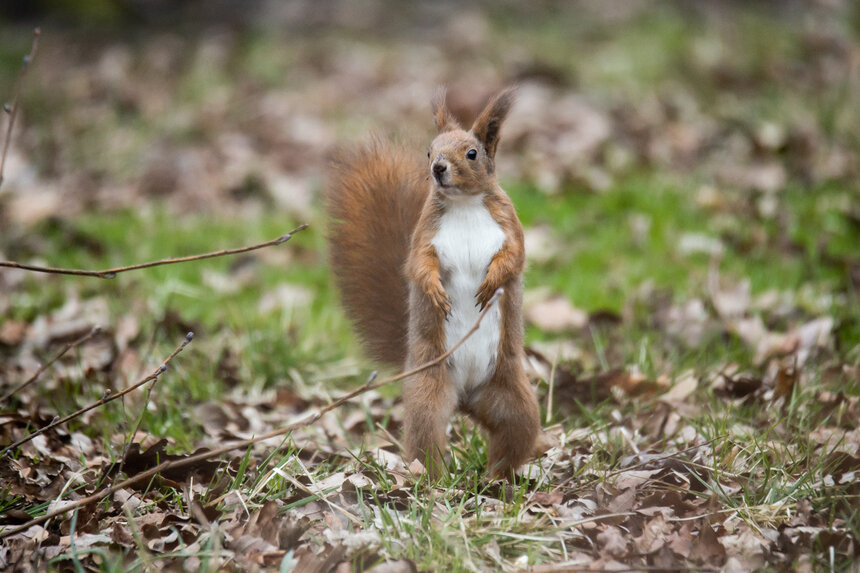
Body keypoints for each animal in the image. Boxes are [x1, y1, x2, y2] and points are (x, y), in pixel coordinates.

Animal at [326, 86, 540, 478]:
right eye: (429, 150)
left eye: (472, 153)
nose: (438, 168)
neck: (465, 204)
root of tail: (466, 399)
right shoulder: (424, 236)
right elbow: (418, 266)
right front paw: (435, 293)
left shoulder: (511, 228)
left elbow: (513, 258)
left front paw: (491, 282)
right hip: (429, 393)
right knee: (426, 438)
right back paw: (433, 478)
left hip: (513, 400)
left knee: (513, 436)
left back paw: (496, 477)